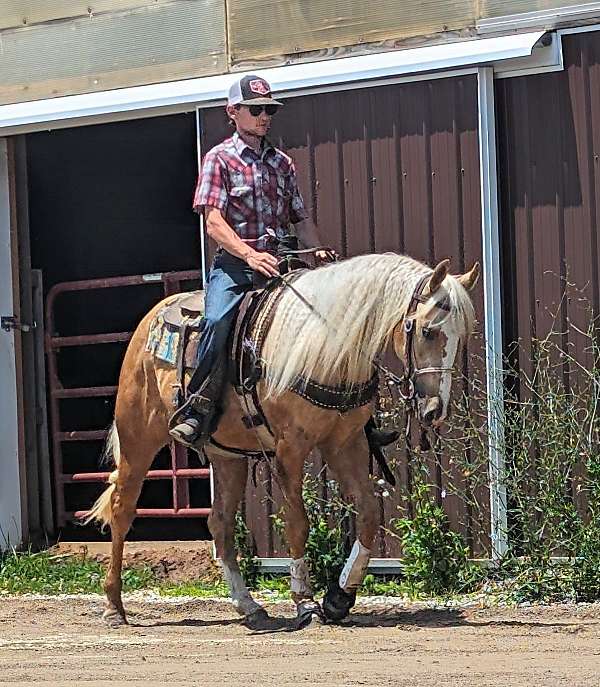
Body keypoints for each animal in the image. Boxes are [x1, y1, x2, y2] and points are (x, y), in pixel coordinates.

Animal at [85, 254, 478, 628]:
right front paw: (306, 603)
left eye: (462, 335)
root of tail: (150, 321)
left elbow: (367, 514)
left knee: (220, 524)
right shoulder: (290, 449)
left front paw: (339, 597)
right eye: (428, 331)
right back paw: (114, 606)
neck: (325, 347)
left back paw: (249, 607)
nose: (436, 409)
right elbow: (297, 523)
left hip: (227, 457)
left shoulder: (345, 444)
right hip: (138, 437)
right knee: (121, 509)